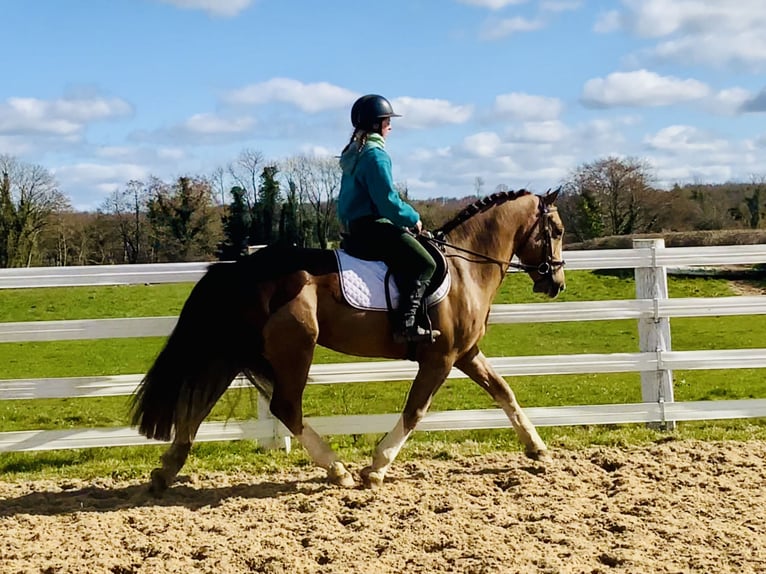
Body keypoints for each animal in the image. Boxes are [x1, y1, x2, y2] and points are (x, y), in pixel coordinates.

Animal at [130, 189, 564, 496]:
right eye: (556, 231)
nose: (556, 283)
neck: (465, 268)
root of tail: (239, 269)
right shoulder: (440, 358)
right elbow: (415, 411)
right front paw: (376, 467)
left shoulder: (466, 354)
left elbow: (504, 392)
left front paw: (537, 449)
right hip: (295, 349)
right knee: (285, 407)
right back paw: (338, 470)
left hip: (233, 351)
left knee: (198, 403)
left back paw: (165, 472)